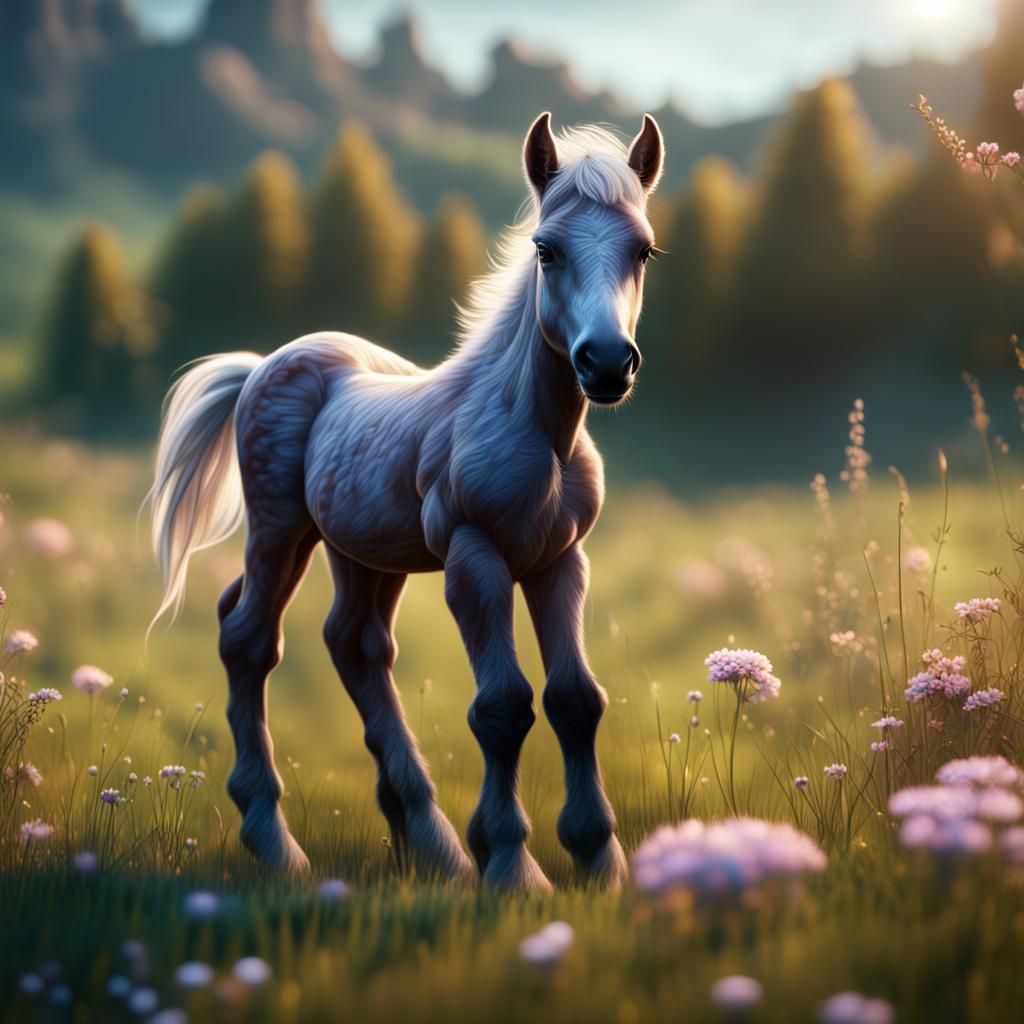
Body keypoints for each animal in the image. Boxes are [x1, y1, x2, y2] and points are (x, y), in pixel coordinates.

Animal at [148, 112, 664, 892]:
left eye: (643, 249)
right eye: (546, 250)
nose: (605, 363)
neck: (530, 427)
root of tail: (264, 364)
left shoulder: (559, 561)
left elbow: (575, 698)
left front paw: (599, 860)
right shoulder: (475, 557)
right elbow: (503, 706)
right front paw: (511, 863)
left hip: (364, 555)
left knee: (354, 643)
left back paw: (431, 844)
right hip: (279, 529)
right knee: (248, 639)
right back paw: (277, 842)